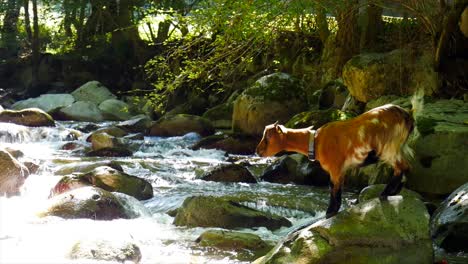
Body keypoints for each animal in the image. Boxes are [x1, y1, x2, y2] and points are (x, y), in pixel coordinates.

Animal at [258, 104, 414, 218]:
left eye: (268, 138)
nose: (258, 151)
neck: (316, 140)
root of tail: (405, 115)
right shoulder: (340, 170)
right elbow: (335, 188)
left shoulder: (336, 168)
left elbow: (334, 189)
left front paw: (330, 212)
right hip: (397, 147)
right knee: (405, 167)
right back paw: (393, 191)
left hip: (388, 148)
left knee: (402, 166)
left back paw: (385, 193)